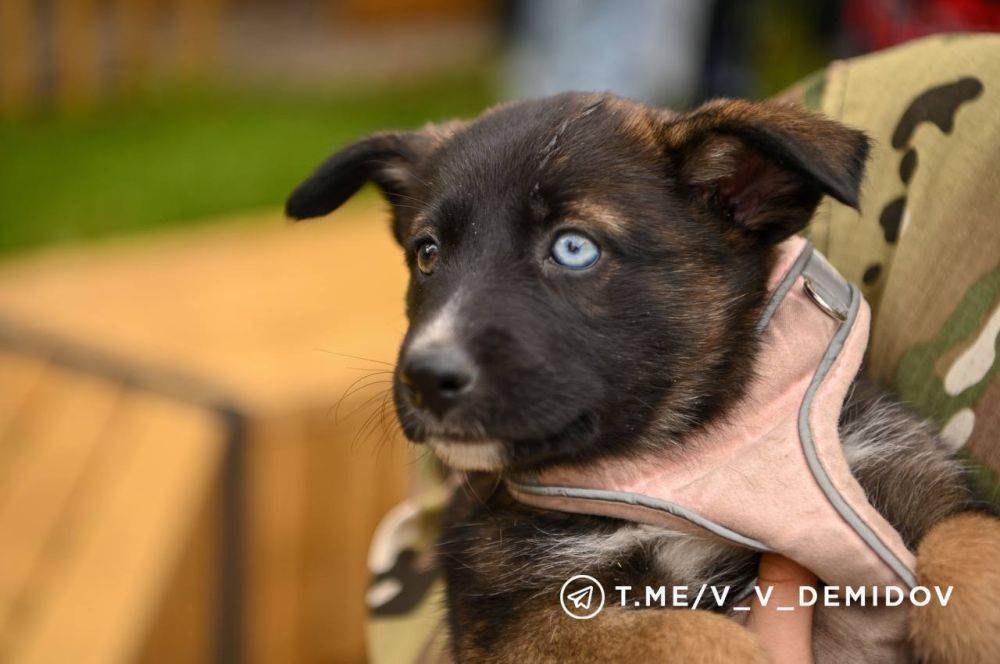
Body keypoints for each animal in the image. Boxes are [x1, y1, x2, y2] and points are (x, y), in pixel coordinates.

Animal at [290, 94, 976, 664]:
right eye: (427, 254)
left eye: (573, 248)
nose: (427, 377)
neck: (683, 453)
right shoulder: (515, 617)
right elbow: (693, 634)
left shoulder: (894, 486)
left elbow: (966, 544)